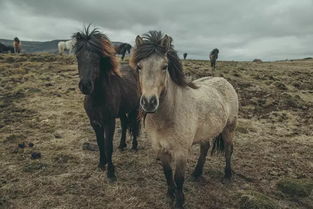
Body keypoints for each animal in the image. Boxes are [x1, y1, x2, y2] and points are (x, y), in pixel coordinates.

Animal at [72, 26, 140, 182]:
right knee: (125, 123)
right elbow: (100, 143)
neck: (98, 97)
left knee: (134, 125)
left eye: (97, 58)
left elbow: (108, 145)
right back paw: (122, 145)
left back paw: (134, 146)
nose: (85, 86)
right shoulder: (94, 122)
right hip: (122, 111)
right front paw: (101, 164)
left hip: (134, 108)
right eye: (78, 56)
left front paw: (111, 172)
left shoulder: (109, 122)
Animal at [130, 31, 238, 209]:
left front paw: (179, 201)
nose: (149, 102)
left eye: (164, 66)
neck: (167, 116)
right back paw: (196, 173)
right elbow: (167, 173)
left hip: (229, 128)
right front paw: (170, 194)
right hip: (206, 131)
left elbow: (178, 178)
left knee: (228, 150)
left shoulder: (181, 152)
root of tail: (224, 81)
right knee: (205, 148)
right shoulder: (160, 149)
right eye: (139, 67)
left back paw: (227, 175)